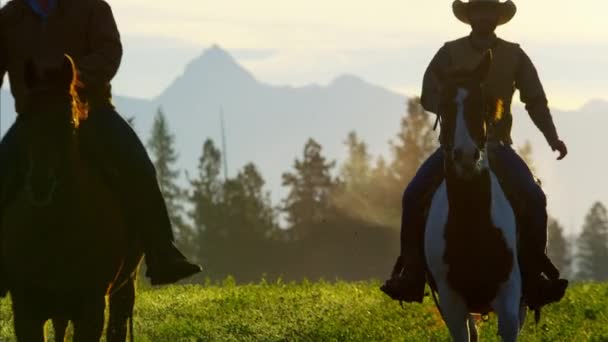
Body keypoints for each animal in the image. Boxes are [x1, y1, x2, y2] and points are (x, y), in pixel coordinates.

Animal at [0, 54, 143, 340]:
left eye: (68, 123)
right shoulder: (26, 310)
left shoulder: (91, 308)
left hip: (124, 286)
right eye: (23, 121)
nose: (40, 184)